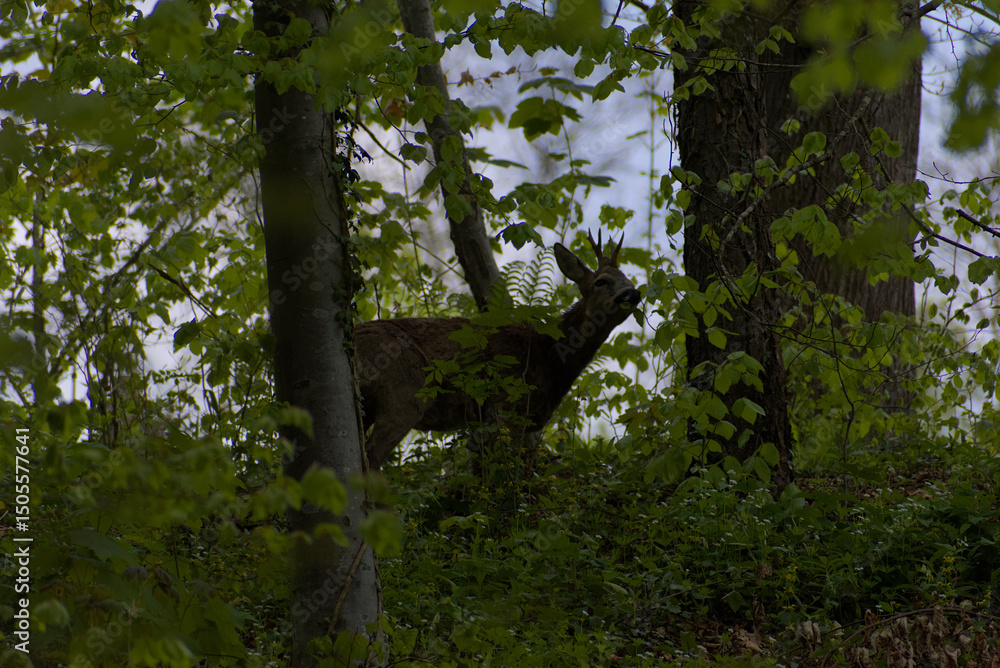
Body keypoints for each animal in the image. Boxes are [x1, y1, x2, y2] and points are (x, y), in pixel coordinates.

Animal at [355, 231, 642, 470]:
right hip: (406, 389)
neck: (549, 358)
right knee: (373, 454)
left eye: (629, 278)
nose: (633, 293)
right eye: (601, 281)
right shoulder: (502, 404)